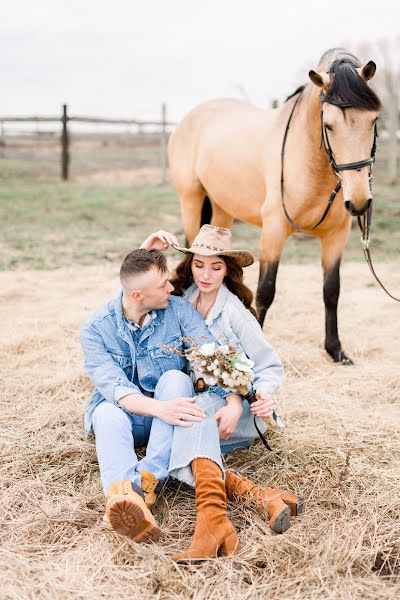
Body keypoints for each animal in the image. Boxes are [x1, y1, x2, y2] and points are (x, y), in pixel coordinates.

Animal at [168, 47, 382, 364]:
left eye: (373, 121)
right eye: (328, 125)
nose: (358, 202)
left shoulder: (336, 238)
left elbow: (331, 290)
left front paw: (335, 350)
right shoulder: (274, 233)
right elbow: (265, 292)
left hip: (221, 212)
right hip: (191, 200)